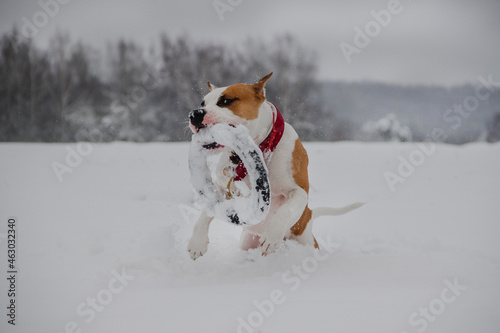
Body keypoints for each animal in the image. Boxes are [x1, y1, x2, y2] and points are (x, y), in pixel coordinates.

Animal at [186, 72, 362, 260]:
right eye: (202, 103)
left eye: (225, 101)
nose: (194, 114)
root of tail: (309, 215)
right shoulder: (222, 189)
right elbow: (207, 211)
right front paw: (197, 241)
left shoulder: (299, 191)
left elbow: (285, 210)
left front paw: (271, 236)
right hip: (248, 242)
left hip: (304, 238)